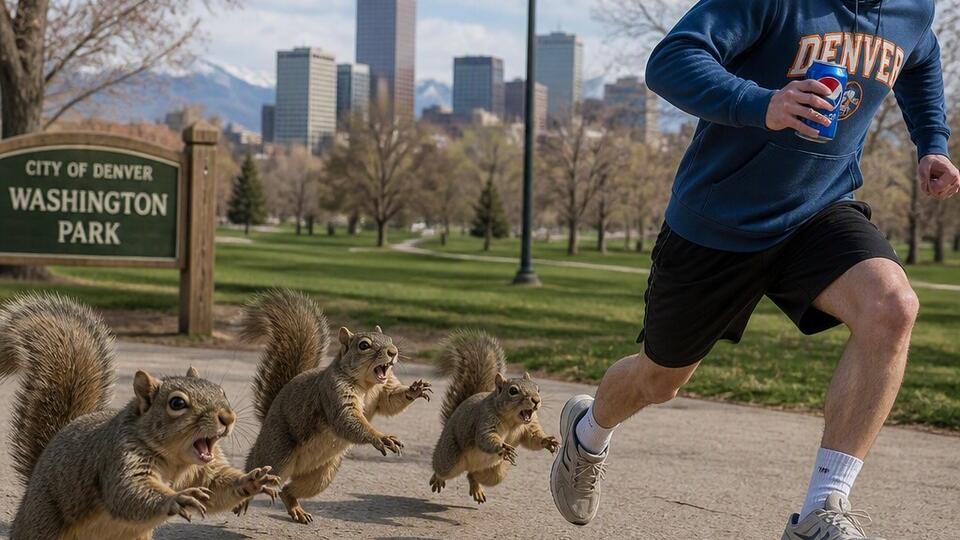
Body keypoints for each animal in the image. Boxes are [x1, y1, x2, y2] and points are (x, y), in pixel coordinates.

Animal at [0, 293, 280, 540]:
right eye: (177, 403)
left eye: (221, 391)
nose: (228, 417)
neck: (176, 463)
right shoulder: (119, 456)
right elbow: (129, 491)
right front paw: (176, 498)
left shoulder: (203, 471)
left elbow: (217, 487)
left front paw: (253, 479)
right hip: (42, 521)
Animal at [237, 289, 433, 524]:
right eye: (364, 345)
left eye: (390, 339)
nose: (393, 352)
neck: (367, 385)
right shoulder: (333, 394)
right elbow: (347, 419)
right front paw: (381, 437)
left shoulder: (384, 390)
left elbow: (391, 402)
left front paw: (415, 389)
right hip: (277, 452)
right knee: (258, 465)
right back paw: (247, 490)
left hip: (322, 475)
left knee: (287, 490)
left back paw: (297, 509)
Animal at [429, 329, 560, 504]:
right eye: (513, 391)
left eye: (538, 388)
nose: (536, 400)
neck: (513, 422)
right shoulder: (486, 419)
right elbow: (486, 438)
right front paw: (502, 447)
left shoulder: (530, 426)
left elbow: (533, 438)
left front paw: (548, 441)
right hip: (449, 456)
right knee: (441, 468)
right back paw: (437, 478)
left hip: (495, 473)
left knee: (472, 474)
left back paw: (476, 488)